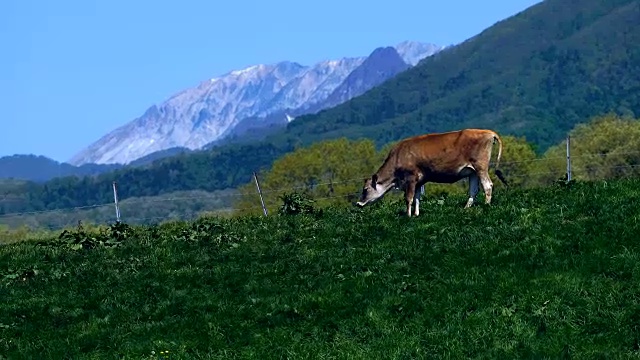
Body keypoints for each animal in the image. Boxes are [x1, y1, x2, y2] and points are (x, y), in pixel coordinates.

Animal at [358, 131, 508, 218]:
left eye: (365, 189)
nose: (358, 203)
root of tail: (488, 132)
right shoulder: (420, 181)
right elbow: (417, 197)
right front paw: (416, 214)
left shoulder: (410, 178)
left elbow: (409, 198)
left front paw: (408, 216)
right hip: (473, 171)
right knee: (474, 190)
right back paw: (465, 208)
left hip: (481, 167)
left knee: (488, 185)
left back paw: (486, 205)